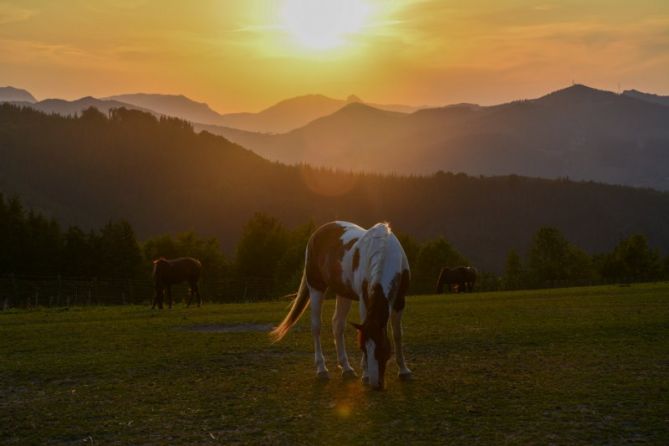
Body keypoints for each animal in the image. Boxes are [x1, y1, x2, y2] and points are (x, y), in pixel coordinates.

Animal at [268, 221, 410, 388]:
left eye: (382, 348)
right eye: (363, 348)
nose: (375, 385)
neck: (384, 251)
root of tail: (316, 233)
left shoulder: (399, 301)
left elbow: (397, 334)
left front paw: (404, 370)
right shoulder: (364, 300)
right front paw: (366, 374)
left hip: (343, 294)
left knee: (337, 325)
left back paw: (347, 368)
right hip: (316, 287)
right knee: (316, 326)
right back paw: (322, 369)